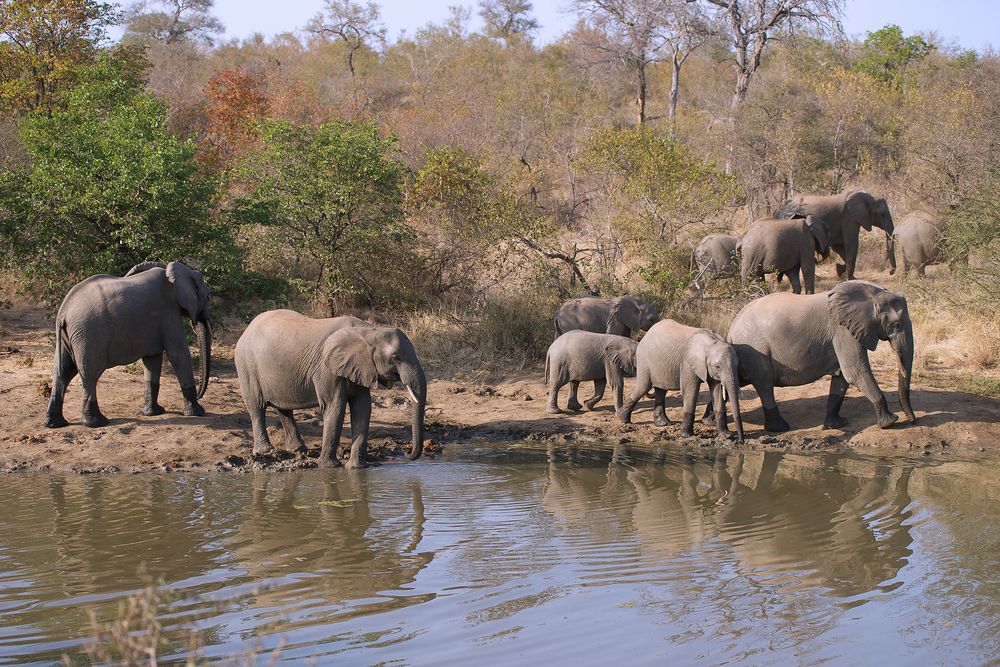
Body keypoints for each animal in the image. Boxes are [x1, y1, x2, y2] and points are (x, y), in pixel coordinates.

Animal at [46, 260, 214, 428]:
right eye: (208, 297)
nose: (200, 395)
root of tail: (63, 313)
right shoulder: (168, 313)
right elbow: (178, 353)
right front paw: (198, 413)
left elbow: (152, 359)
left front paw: (152, 413)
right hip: (88, 334)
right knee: (89, 375)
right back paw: (97, 422)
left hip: (69, 336)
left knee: (62, 372)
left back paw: (55, 423)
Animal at [236, 312, 428, 472]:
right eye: (396, 358)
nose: (407, 453)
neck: (368, 331)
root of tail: (247, 329)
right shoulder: (326, 368)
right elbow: (334, 406)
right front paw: (327, 467)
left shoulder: (359, 367)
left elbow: (363, 408)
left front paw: (356, 468)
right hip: (246, 365)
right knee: (257, 407)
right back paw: (266, 451)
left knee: (283, 408)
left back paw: (298, 449)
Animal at [612, 320, 748, 444]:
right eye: (717, 366)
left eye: (737, 366)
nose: (740, 441)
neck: (711, 343)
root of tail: (647, 334)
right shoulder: (688, 363)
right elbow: (690, 390)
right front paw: (687, 436)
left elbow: (717, 392)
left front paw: (726, 435)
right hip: (645, 360)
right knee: (643, 387)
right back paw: (623, 419)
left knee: (661, 390)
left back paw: (663, 423)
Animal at [724, 280, 916, 434]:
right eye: (897, 325)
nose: (913, 421)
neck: (873, 294)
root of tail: (732, 329)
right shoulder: (843, 330)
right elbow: (854, 372)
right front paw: (890, 422)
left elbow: (842, 377)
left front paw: (836, 425)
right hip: (755, 351)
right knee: (765, 384)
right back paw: (780, 428)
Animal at [772, 189, 900, 280]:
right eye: (882, 215)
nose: (890, 272)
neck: (867, 196)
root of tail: (778, 211)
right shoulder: (849, 217)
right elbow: (852, 244)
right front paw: (851, 278)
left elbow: (839, 247)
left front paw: (842, 271)